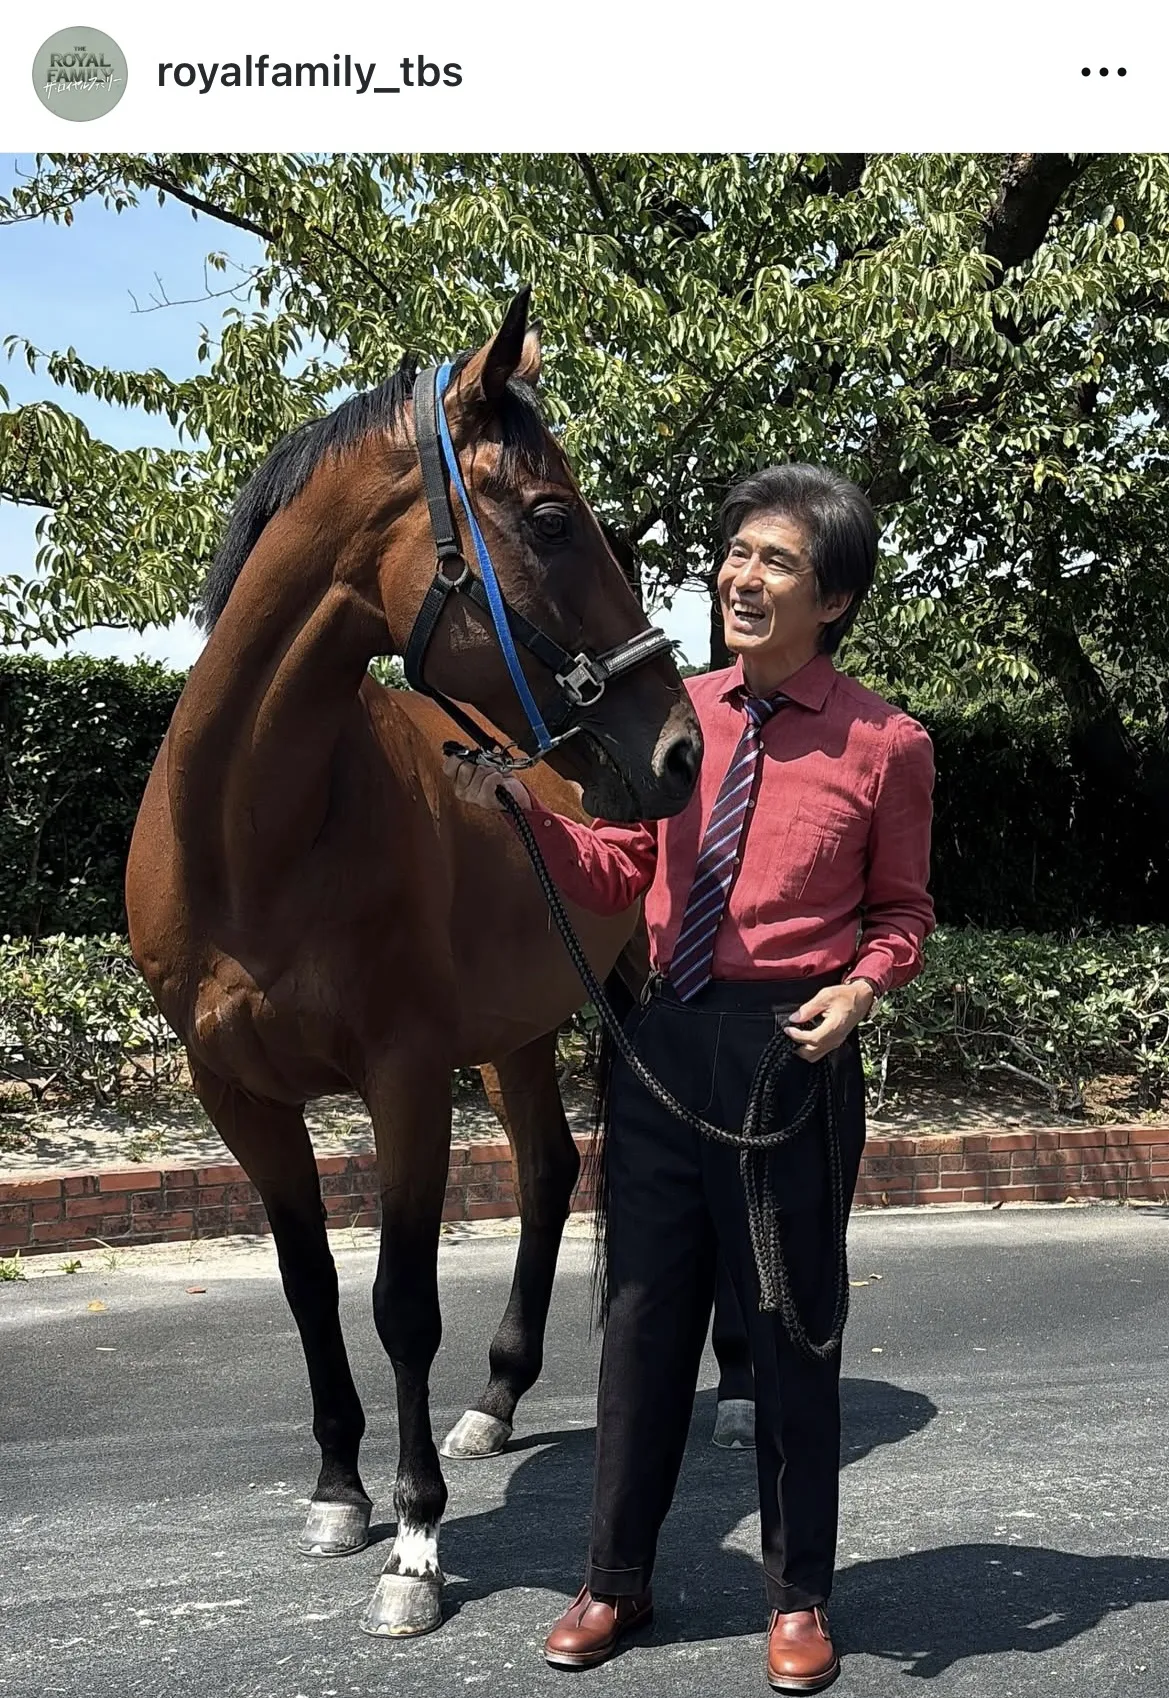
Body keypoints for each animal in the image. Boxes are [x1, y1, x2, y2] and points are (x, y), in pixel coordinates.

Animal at [124, 289, 702, 1639]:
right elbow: (305, 1281)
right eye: (549, 519)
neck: (253, 838)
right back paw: (494, 1402)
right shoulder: (238, 1096)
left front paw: (417, 1544)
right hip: (519, 1030)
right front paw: (340, 1494)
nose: (676, 752)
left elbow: (399, 1301)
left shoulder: (402, 1080)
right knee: (548, 1173)